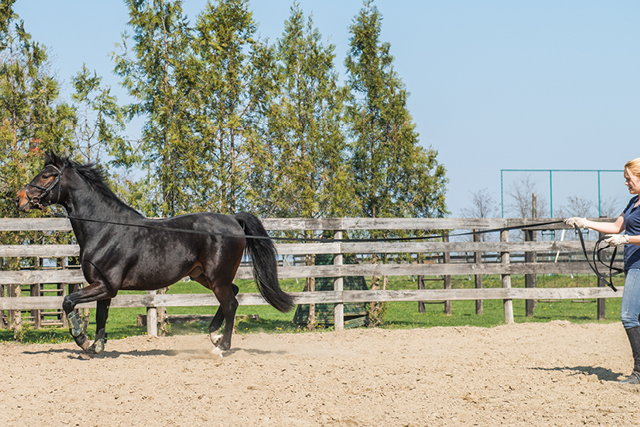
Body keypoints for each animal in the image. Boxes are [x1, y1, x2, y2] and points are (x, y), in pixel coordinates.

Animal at [15, 152, 293, 357]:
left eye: (46, 175)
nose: (20, 200)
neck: (105, 228)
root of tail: (234, 220)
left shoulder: (105, 285)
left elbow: (68, 301)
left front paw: (82, 341)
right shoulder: (102, 286)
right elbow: (101, 315)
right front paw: (96, 347)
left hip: (217, 277)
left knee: (231, 304)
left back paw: (221, 348)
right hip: (203, 276)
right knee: (231, 296)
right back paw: (213, 334)